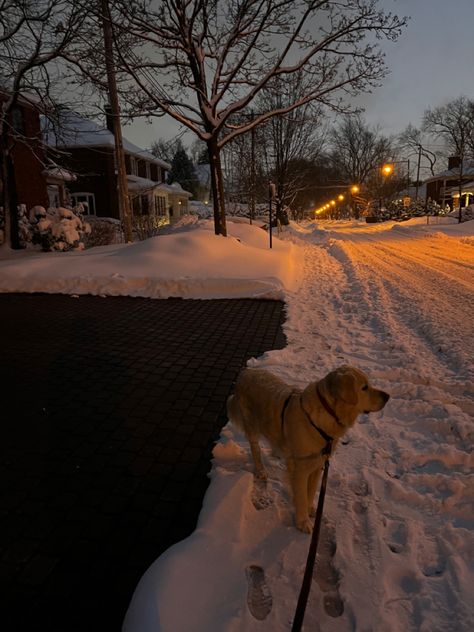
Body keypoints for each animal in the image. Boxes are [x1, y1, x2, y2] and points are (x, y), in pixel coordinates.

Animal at [229, 366, 388, 532]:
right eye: (364, 387)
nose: (387, 396)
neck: (326, 415)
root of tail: (246, 371)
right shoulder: (301, 468)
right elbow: (301, 495)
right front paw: (303, 522)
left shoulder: (318, 464)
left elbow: (310, 492)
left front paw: (310, 509)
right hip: (252, 425)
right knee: (255, 449)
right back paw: (261, 470)